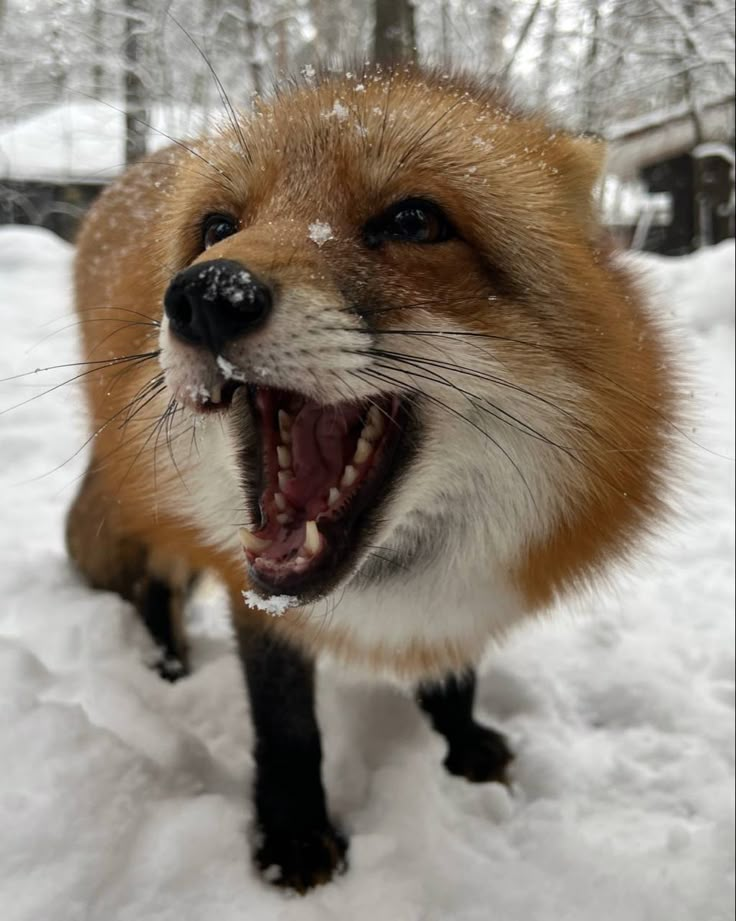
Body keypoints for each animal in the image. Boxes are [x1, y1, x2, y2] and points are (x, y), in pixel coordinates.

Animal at [66, 70, 676, 892]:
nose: (208, 293)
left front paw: (458, 743)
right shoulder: (249, 581)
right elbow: (286, 722)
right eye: (217, 227)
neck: (385, 577)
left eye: (414, 221)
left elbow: (455, 666)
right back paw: (167, 664)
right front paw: (294, 838)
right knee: (154, 587)